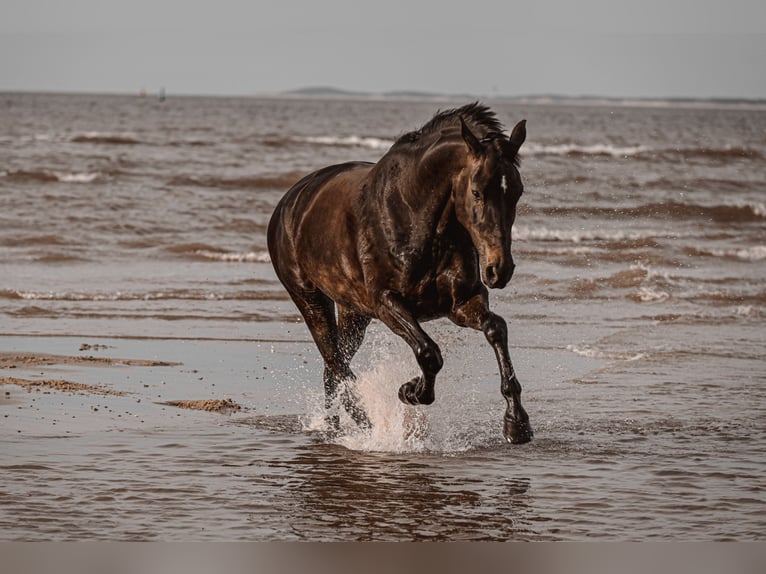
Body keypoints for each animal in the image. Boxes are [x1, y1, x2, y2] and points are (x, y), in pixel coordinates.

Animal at [268, 103, 536, 446]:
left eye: (517, 192)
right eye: (476, 193)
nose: (499, 270)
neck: (416, 219)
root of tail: (290, 201)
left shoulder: (462, 303)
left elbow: (496, 329)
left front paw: (517, 424)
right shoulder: (387, 302)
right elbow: (429, 352)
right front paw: (410, 391)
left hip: (354, 313)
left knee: (334, 366)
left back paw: (335, 426)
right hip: (311, 300)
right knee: (336, 363)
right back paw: (364, 424)